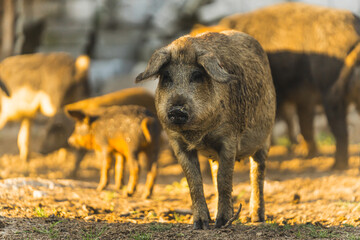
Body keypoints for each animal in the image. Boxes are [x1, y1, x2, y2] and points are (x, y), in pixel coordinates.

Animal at [136, 30, 276, 229]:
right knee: (216, 172)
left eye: (197, 75)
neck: (198, 135)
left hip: (266, 137)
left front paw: (222, 223)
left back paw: (257, 218)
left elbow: (224, 180)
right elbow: (194, 181)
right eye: (166, 76)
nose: (177, 109)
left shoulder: (229, 139)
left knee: (258, 171)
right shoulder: (177, 143)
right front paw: (200, 225)